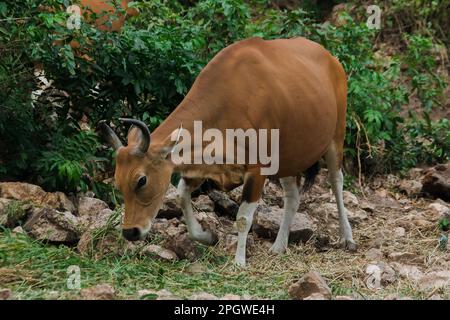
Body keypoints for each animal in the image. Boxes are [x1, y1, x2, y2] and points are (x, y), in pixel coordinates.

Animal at [100, 36, 356, 266]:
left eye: (141, 180)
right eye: (118, 183)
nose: (130, 232)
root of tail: (330, 58)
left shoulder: (257, 170)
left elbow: (243, 217)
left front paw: (239, 262)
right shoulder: (203, 164)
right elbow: (182, 195)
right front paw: (207, 236)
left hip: (336, 137)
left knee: (336, 181)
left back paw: (347, 237)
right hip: (288, 157)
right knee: (293, 197)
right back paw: (279, 246)